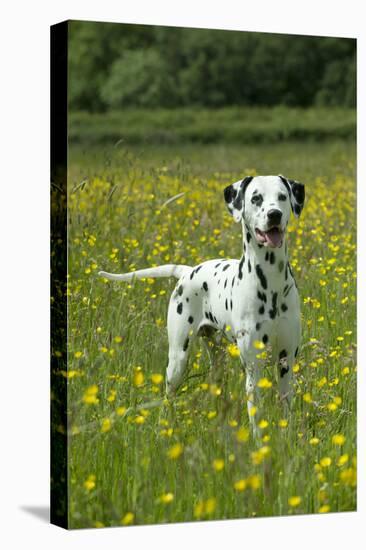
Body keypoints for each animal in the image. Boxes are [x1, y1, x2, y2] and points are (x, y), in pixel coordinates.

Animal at [98, 175, 304, 434]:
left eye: (282, 196)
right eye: (256, 198)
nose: (274, 214)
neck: (271, 282)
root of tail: (187, 271)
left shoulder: (286, 362)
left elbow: (286, 410)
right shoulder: (253, 367)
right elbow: (256, 419)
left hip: (218, 358)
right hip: (177, 359)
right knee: (168, 395)